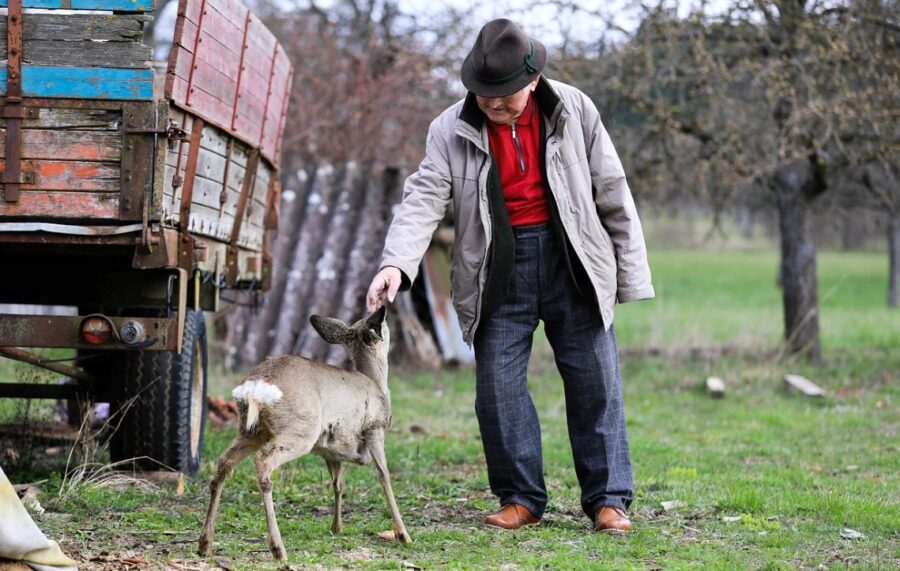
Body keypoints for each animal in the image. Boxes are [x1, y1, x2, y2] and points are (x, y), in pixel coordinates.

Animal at [198, 306, 412, 560]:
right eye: (385, 325)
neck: (376, 383)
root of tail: (256, 385)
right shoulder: (374, 427)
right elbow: (384, 475)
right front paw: (403, 534)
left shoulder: (332, 450)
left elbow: (338, 484)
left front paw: (337, 527)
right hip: (301, 429)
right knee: (263, 461)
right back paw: (278, 549)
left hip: (251, 430)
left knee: (224, 462)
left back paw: (205, 543)